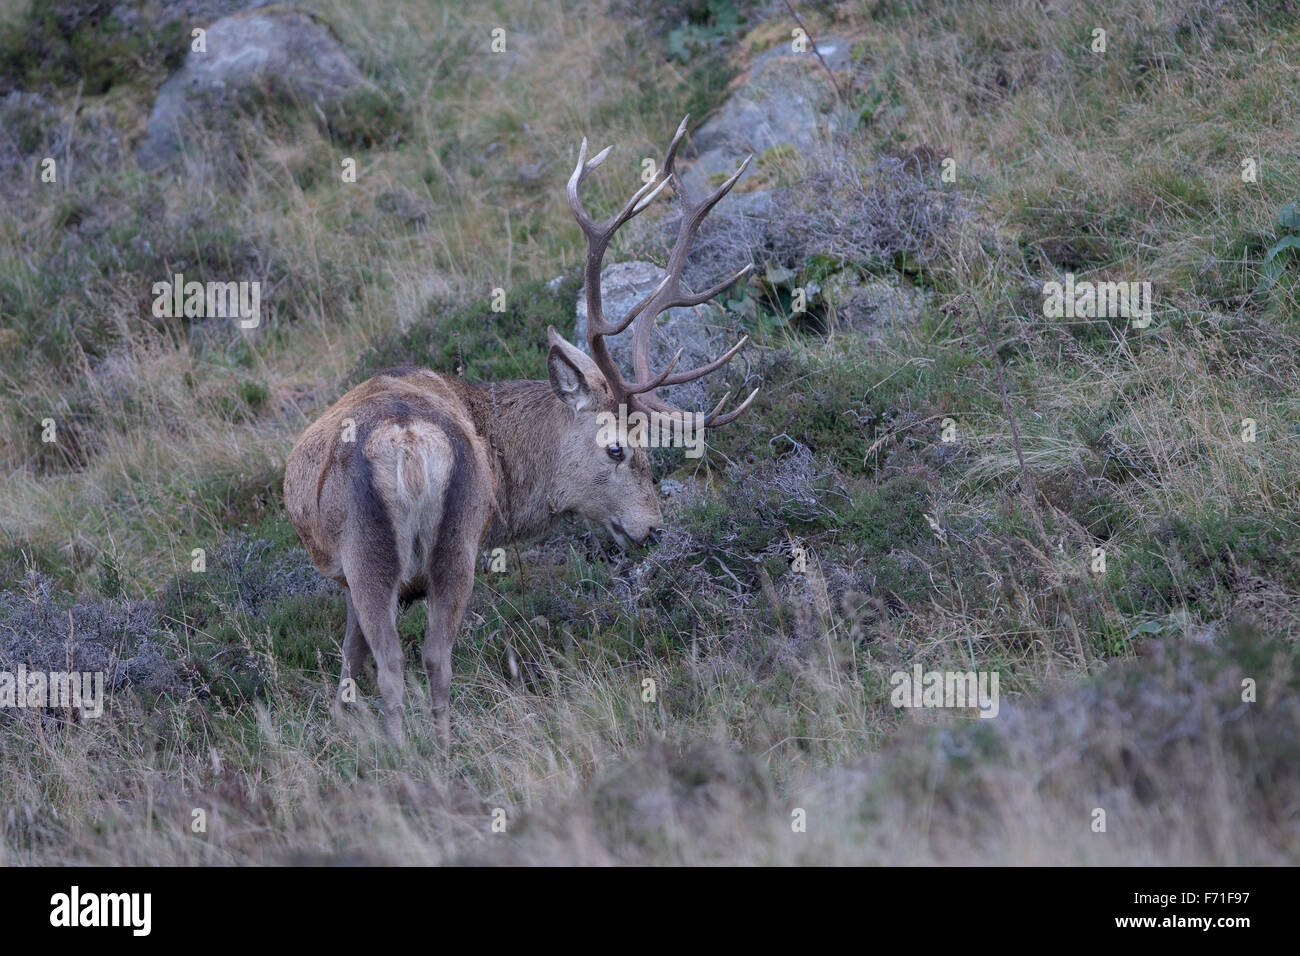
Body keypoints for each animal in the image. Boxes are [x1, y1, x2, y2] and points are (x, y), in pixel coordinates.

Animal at [279, 117, 759, 749]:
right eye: (618, 448)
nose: (654, 528)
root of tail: (409, 445)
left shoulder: (347, 573)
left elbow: (349, 657)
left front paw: (340, 721)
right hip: (449, 546)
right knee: (435, 657)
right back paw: (440, 749)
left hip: (376, 550)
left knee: (399, 663)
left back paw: (407, 756)